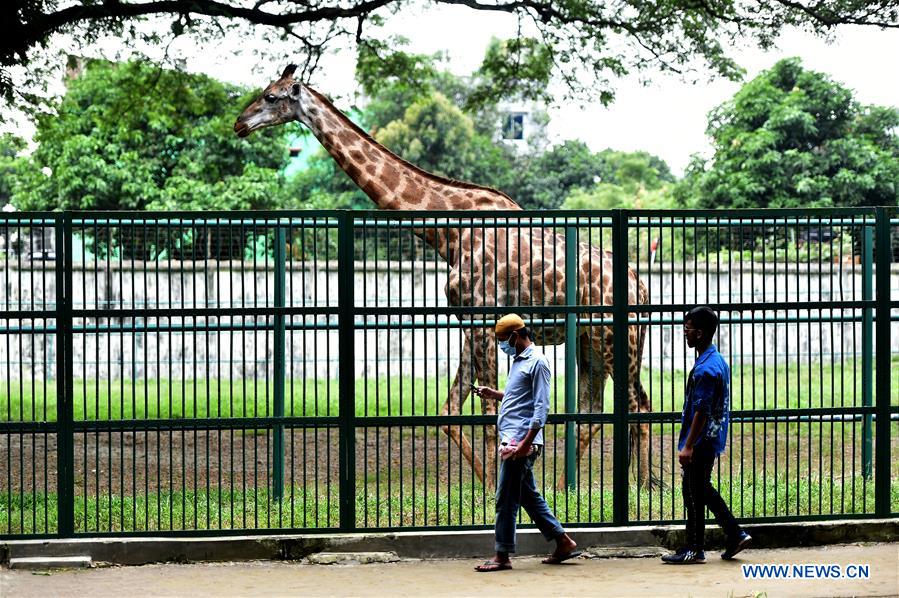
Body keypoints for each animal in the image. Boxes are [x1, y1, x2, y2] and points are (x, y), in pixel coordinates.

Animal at [232, 63, 652, 490]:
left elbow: (488, 410)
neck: (447, 233)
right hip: (590, 341)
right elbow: (451, 410)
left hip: (615, 338)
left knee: (637, 402)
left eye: (270, 96)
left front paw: (493, 488)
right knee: (596, 409)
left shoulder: (483, 317)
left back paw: (638, 487)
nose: (239, 123)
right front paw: (486, 485)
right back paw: (575, 487)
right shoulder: (468, 321)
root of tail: (641, 286)